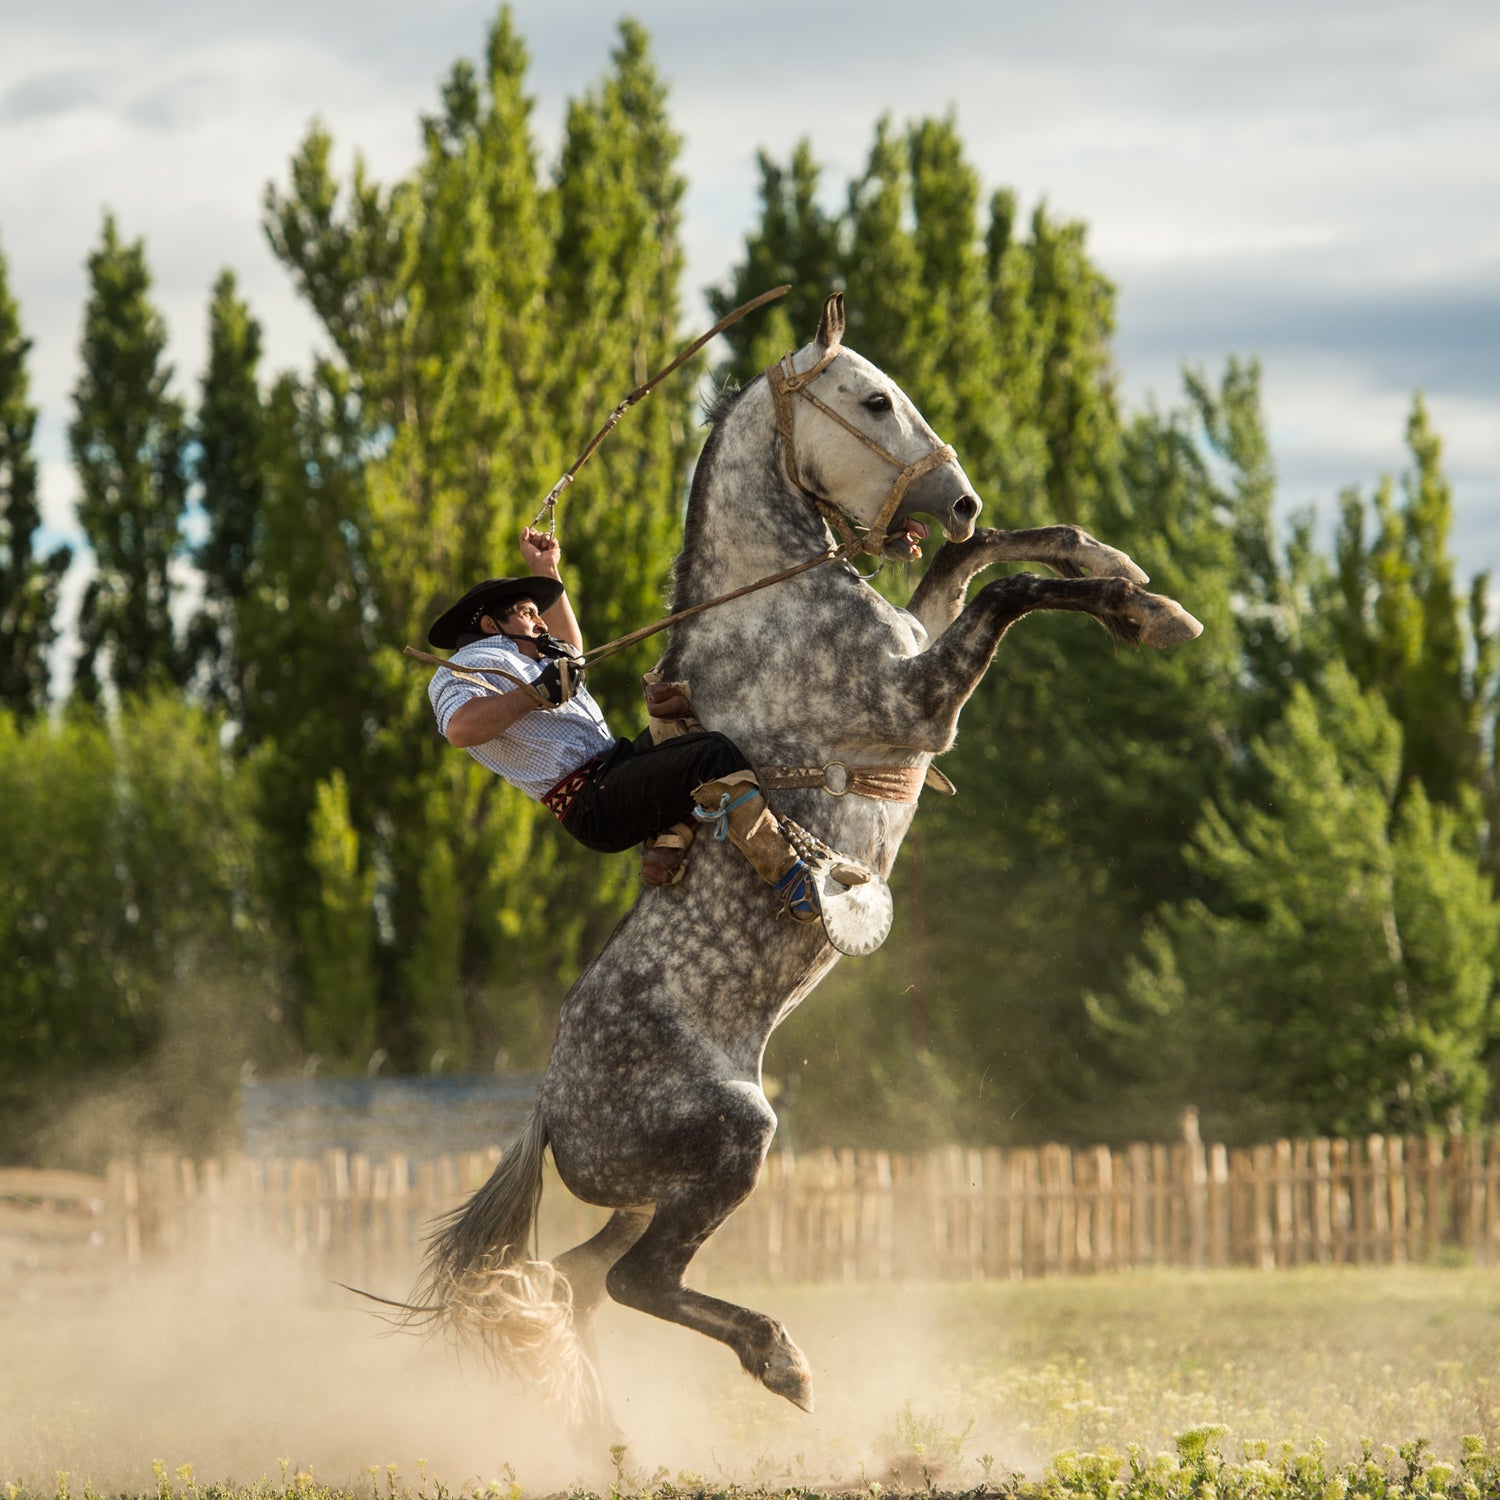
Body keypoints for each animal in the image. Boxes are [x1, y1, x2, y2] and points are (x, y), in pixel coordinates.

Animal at [408, 292, 1194, 1428]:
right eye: (871, 400)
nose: (957, 498)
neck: (768, 605)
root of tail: (546, 1115)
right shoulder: (918, 704)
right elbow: (1003, 595)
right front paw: (1149, 613)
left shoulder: (920, 643)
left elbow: (977, 570)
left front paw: (1111, 563)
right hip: (733, 1142)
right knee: (632, 1280)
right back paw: (779, 1361)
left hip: (657, 1193)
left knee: (573, 1283)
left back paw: (613, 1436)